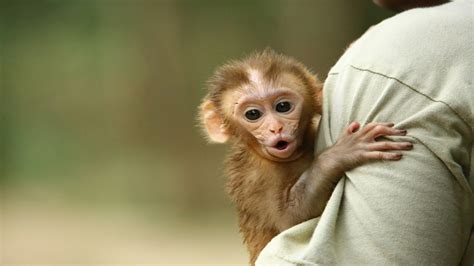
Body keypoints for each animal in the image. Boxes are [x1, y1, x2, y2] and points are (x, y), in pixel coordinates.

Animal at [198, 49, 412, 264]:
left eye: (283, 106)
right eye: (253, 114)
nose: (276, 128)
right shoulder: (256, 178)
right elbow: (290, 221)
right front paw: (342, 153)